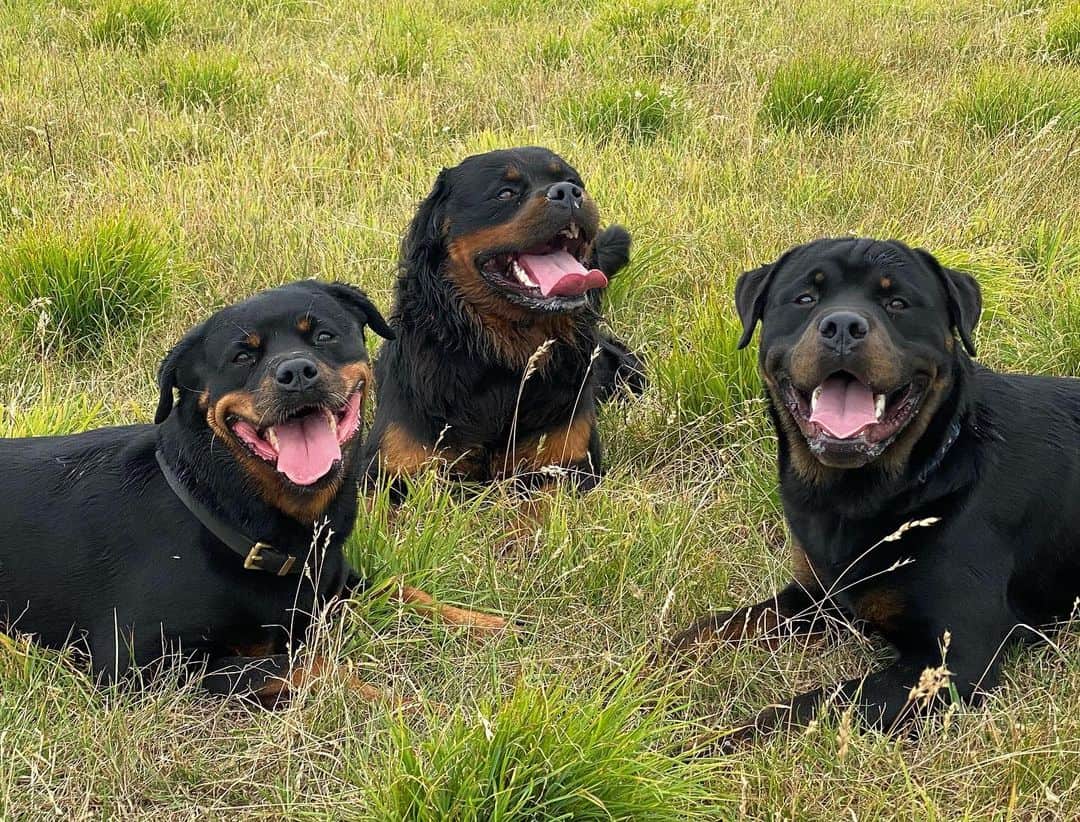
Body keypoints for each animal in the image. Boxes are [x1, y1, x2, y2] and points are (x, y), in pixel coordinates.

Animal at [0, 280, 498, 699]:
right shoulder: (139, 662)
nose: (296, 372)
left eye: (324, 336)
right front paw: (398, 702)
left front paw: (490, 624)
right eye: (242, 357)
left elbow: (404, 590)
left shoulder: (334, 586)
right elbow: (310, 667)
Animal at [358, 144, 643, 496]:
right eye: (505, 193)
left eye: (574, 182)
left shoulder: (566, 467)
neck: (503, 360)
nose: (569, 193)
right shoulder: (388, 474)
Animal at [669, 237, 1080, 743]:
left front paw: (704, 745)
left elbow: (806, 707)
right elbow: (717, 626)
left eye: (897, 303)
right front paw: (648, 671)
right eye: (805, 298)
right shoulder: (817, 594)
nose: (843, 326)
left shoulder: (954, 661)